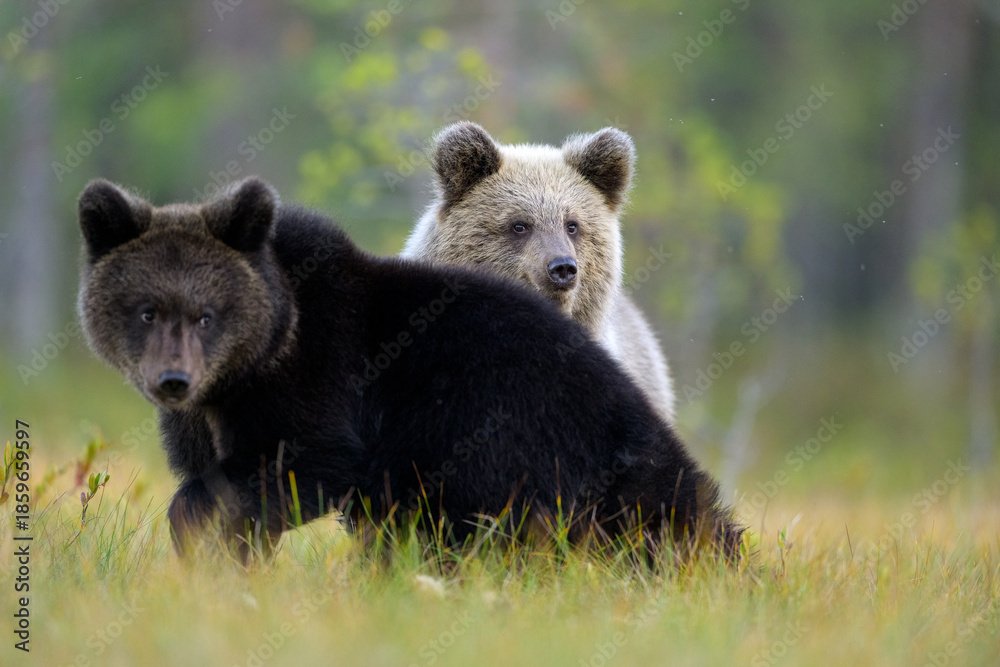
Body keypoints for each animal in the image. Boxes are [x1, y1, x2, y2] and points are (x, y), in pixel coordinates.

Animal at [76, 176, 739, 560]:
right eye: (146, 310)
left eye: (207, 315)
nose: (173, 380)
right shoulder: (203, 420)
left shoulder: (324, 376)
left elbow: (297, 462)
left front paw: (200, 538)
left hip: (529, 434)